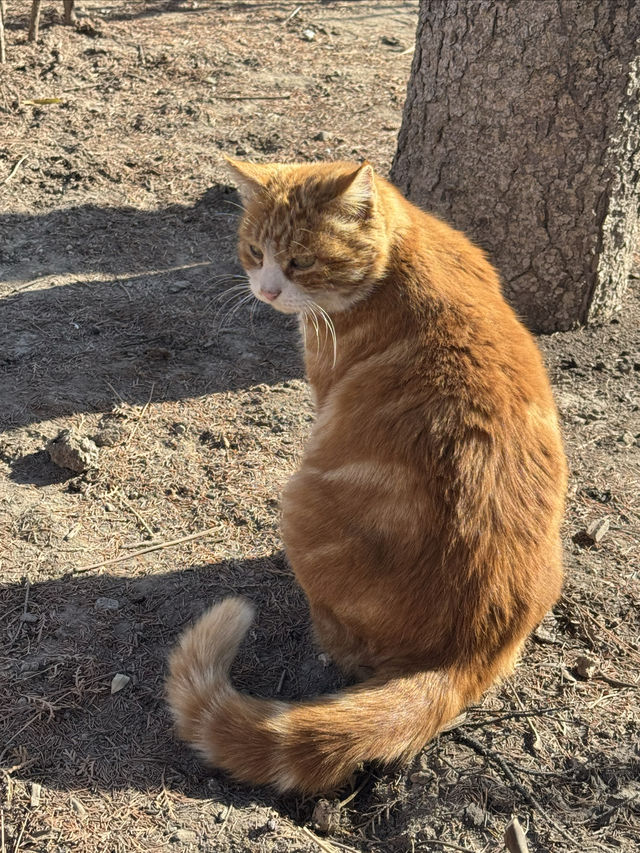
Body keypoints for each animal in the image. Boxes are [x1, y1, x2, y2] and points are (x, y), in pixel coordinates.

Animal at [168, 160, 568, 792]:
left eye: (301, 261)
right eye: (255, 251)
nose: (267, 291)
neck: (405, 251)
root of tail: (470, 649)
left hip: (298, 503)